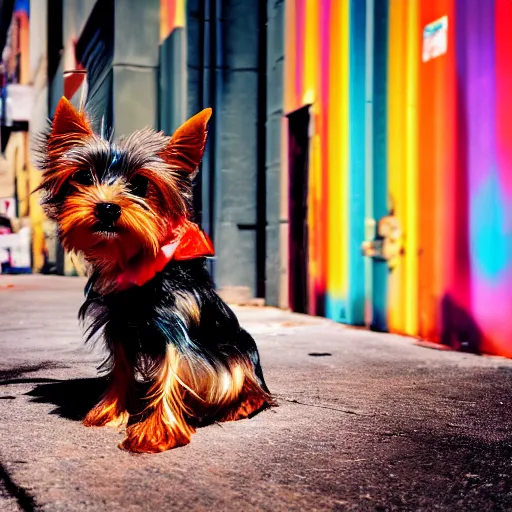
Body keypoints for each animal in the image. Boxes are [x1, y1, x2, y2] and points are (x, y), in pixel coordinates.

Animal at [35, 96, 276, 452]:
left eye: (140, 184)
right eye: (84, 176)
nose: (107, 207)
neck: (137, 264)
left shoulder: (176, 327)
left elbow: (173, 371)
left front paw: (157, 431)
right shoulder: (118, 326)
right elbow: (121, 368)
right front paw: (109, 412)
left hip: (238, 352)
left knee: (249, 383)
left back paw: (243, 404)